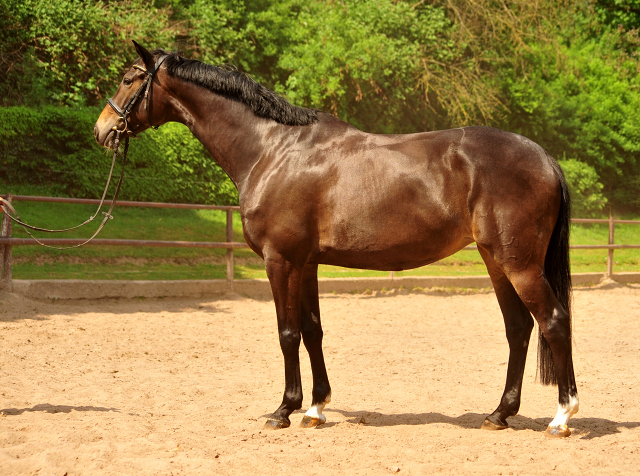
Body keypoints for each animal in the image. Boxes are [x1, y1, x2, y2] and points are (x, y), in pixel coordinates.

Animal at [95, 42, 580, 436]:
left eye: (128, 79)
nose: (101, 130)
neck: (273, 150)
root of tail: (544, 157)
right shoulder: (306, 262)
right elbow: (313, 331)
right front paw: (315, 408)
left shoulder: (280, 260)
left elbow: (287, 332)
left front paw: (283, 410)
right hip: (496, 261)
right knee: (519, 329)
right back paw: (499, 414)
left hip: (519, 264)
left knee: (554, 321)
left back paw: (561, 417)